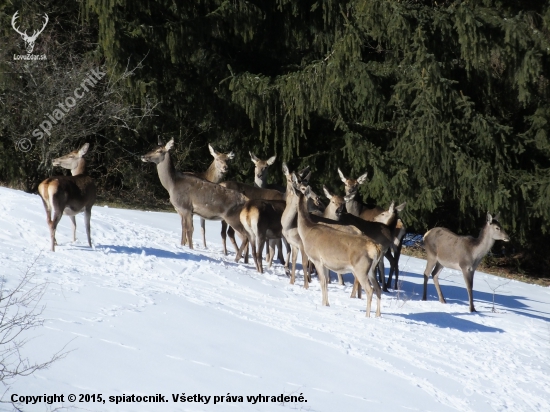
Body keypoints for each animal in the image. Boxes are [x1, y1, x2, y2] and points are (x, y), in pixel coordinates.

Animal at [294, 183, 384, 316]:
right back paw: (378, 315)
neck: (306, 230)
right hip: (371, 269)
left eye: (303, 188)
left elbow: (322, 282)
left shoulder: (317, 259)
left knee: (370, 290)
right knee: (378, 288)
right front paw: (327, 303)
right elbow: (326, 282)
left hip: (361, 268)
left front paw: (324, 304)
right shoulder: (325, 263)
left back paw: (367, 315)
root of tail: (375, 248)